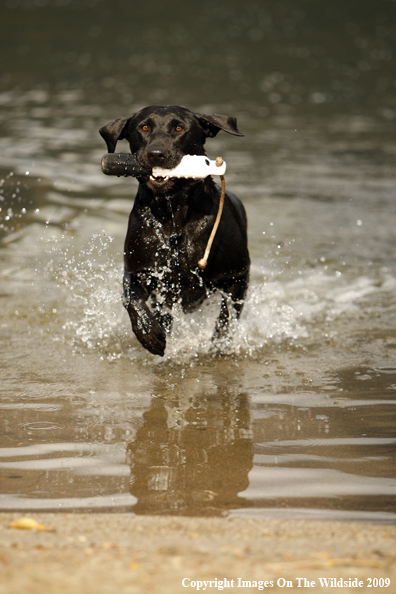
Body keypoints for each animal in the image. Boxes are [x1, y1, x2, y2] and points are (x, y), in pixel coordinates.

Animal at [99, 104, 249, 354]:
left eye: (179, 128)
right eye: (144, 127)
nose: (156, 153)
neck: (173, 215)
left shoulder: (238, 275)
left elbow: (227, 316)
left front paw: (218, 345)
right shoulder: (140, 271)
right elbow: (131, 296)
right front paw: (148, 333)